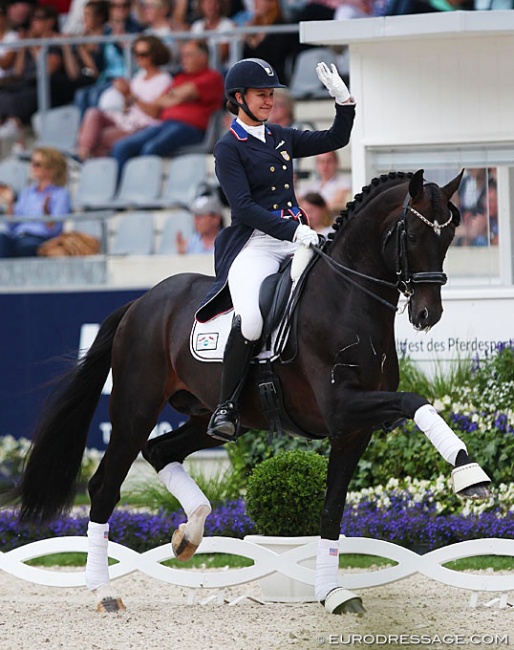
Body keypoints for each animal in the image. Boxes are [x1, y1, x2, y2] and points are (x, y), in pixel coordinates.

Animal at [11, 168, 488, 612]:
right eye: (413, 234)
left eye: (450, 235)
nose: (427, 314)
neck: (346, 298)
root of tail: (141, 302)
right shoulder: (342, 408)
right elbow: (416, 401)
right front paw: (469, 472)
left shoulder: (352, 430)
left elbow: (331, 508)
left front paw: (331, 593)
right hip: (134, 410)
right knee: (105, 486)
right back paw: (104, 591)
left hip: (207, 417)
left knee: (161, 451)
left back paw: (189, 534)